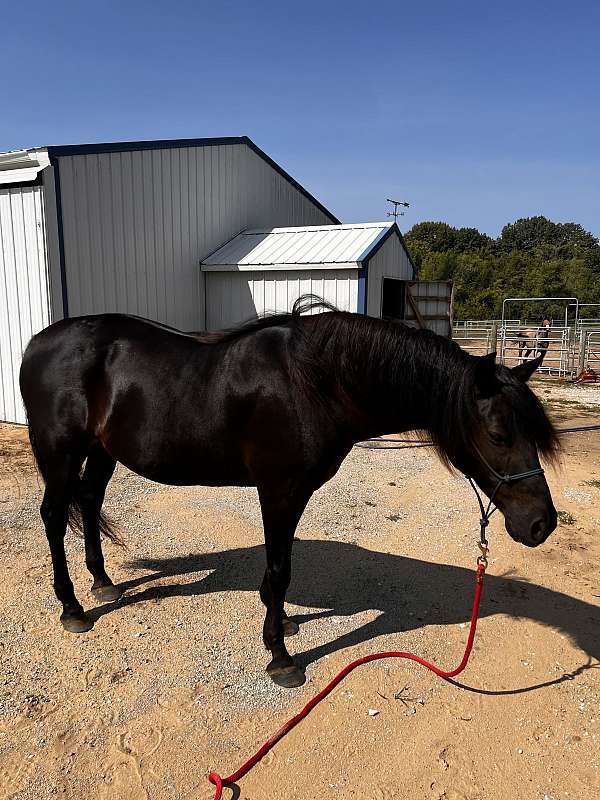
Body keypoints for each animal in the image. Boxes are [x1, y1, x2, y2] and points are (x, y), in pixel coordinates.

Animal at [19, 297, 559, 689]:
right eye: (499, 434)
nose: (541, 523)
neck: (316, 382)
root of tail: (36, 343)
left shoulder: (292, 495)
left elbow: (279, 569)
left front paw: (279, 626)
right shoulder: (280, 490)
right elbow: (279, 571)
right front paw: (280, 657)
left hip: (101, 451)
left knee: (89, 502)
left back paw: (103, 582)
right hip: (60, 452)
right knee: (53, 516)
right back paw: (73, 608)